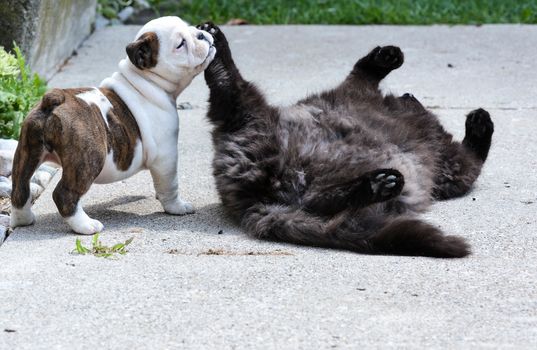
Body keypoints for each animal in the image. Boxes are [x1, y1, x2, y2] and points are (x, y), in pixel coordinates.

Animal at [9, 16, 215, 235]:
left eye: (191, 27)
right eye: (180, 44)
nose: (202, 33)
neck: (146, 80)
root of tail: (54, 100)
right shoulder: (165, 156)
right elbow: (170, 185)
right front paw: (177, 207)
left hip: (27, 150)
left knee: (20, 188)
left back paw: (23, 219)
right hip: (88, 159)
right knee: (64, 194)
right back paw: (86, 225)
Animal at [198, 21, 494, 258]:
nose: (409, 95)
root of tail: (253, 196)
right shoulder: (450, 163)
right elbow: (361, 72)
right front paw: (387, 56)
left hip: (258, 130)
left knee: (318, 200)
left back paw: (376, 184)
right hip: (252, 114)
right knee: (230, 86)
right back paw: (216, 42)